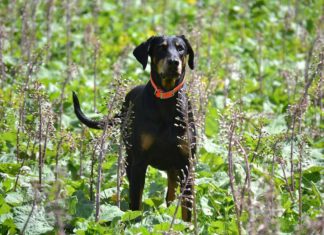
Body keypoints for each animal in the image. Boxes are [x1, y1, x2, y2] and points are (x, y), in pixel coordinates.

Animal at [73, 34, 195, 220]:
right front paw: (136, 222)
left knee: (171, 194)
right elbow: (136, 201)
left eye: (181, 48)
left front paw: (186, 225)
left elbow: (186, 208)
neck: (166, 101)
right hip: (129, 159)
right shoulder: (139, 162)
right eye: (161, 48)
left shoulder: (186, 163)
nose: (174, 62)